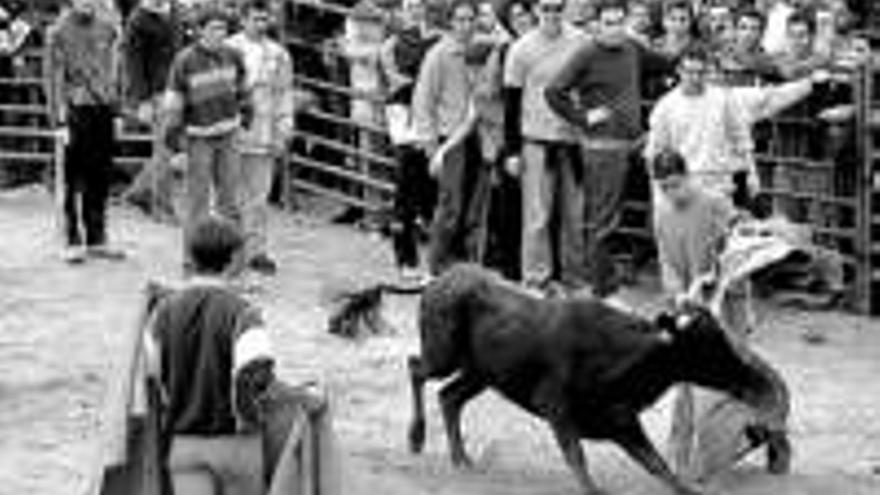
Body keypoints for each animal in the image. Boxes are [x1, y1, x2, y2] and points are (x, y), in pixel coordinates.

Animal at [410, 266, 788, 495]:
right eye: (705, 346)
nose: (749, 377)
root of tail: (441, 278)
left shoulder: (622, 421)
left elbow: (659, 466)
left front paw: (687, 487)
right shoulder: (556, 406)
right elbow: (577, 455)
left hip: (481, 373)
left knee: (449, 397)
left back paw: (461, 458)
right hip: (442, 356)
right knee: (416, 368)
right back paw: (416, 438)